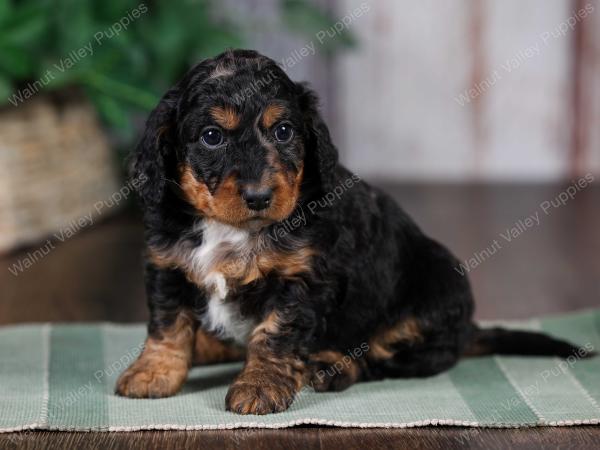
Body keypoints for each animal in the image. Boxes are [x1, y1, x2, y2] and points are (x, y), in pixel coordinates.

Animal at [116, 49, 592, 414]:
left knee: (378, 358)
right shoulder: (166, 264)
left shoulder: (301, 280)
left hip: (429, 305)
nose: (259, 196)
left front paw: (259, 385)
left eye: (284, 131)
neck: (231, 228)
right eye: (211, 136)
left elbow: (273, 337)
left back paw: (330, 367)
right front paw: (153, 371)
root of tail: (467, 331)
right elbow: (168, 325)